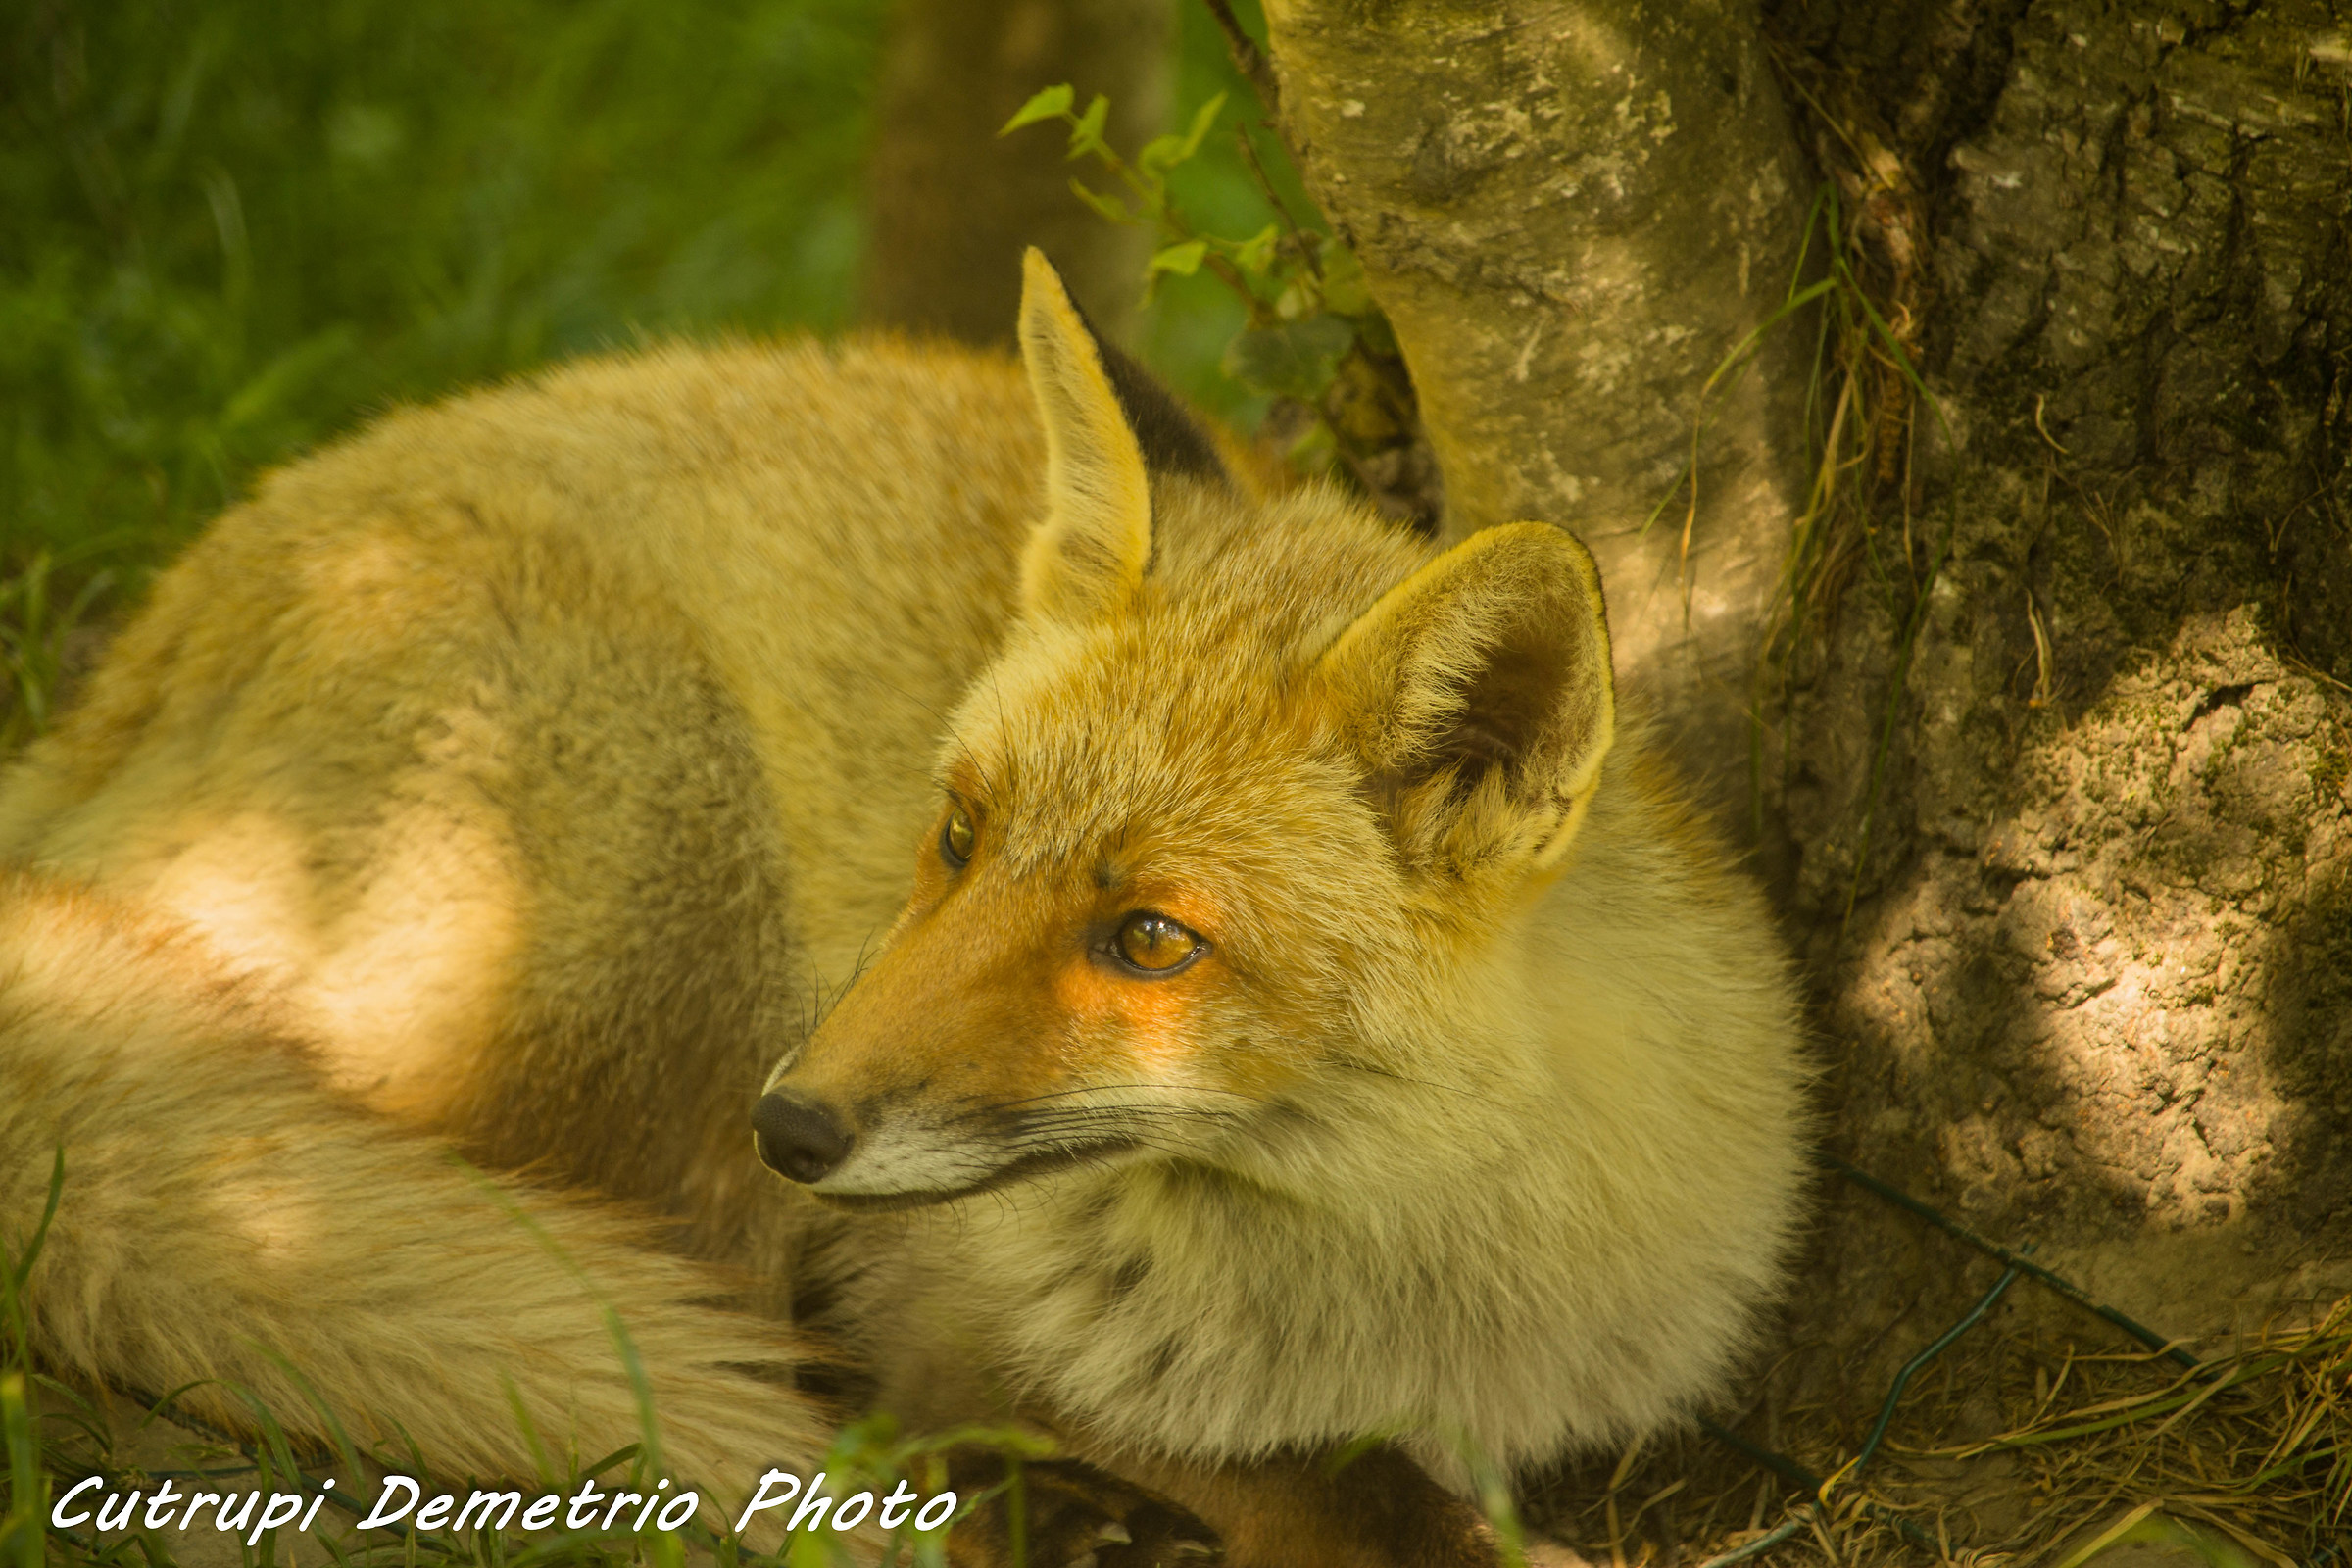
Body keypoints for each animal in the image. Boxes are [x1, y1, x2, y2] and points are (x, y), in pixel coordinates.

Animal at [0, 251, 1808, 1567]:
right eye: (958, 833)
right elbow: (1317, 1493)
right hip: (653, 925)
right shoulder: (964, 1329)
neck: (1394, 1301)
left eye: (1152, 938)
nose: (795, 1126)